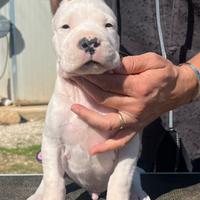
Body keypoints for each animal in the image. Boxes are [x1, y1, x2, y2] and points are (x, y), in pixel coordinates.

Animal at [27, 0, 150, 200]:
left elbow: (120, 179)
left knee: (136, 176)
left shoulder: (128, 145)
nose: (89, 41)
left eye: (108, 25)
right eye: (65, 26)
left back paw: (139, 193)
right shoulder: (52, 142)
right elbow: (54, 181)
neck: (84, 95)